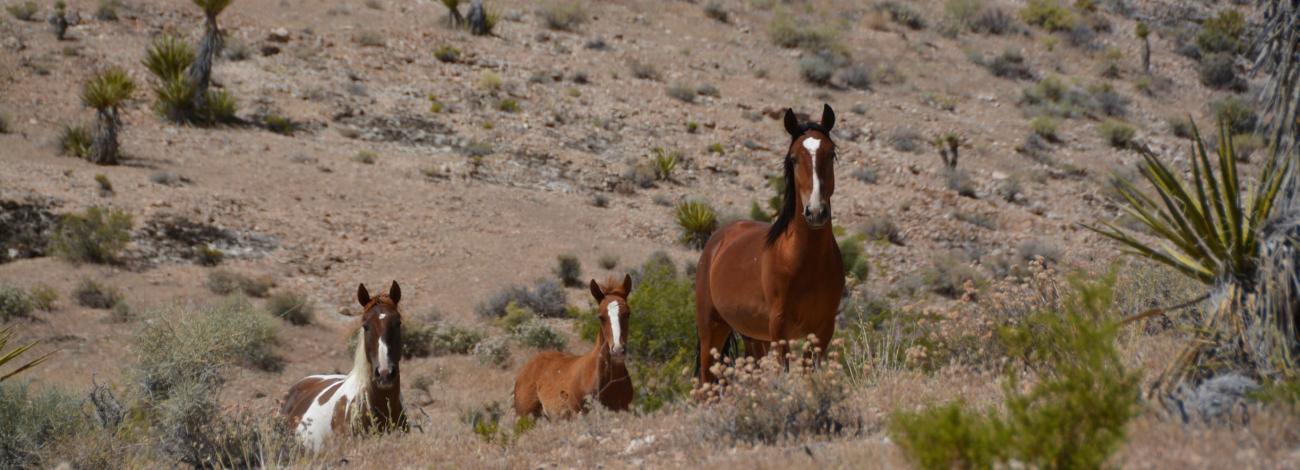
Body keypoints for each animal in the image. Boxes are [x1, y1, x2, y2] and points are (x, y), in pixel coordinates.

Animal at [696, 104, 847, 384]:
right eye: (793, 158)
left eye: (830, 154)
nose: (816, 212)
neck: (805, 260)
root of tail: (716, 242)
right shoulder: (779, 327)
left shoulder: (822, 329)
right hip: (712, 330)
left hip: (754, 338)